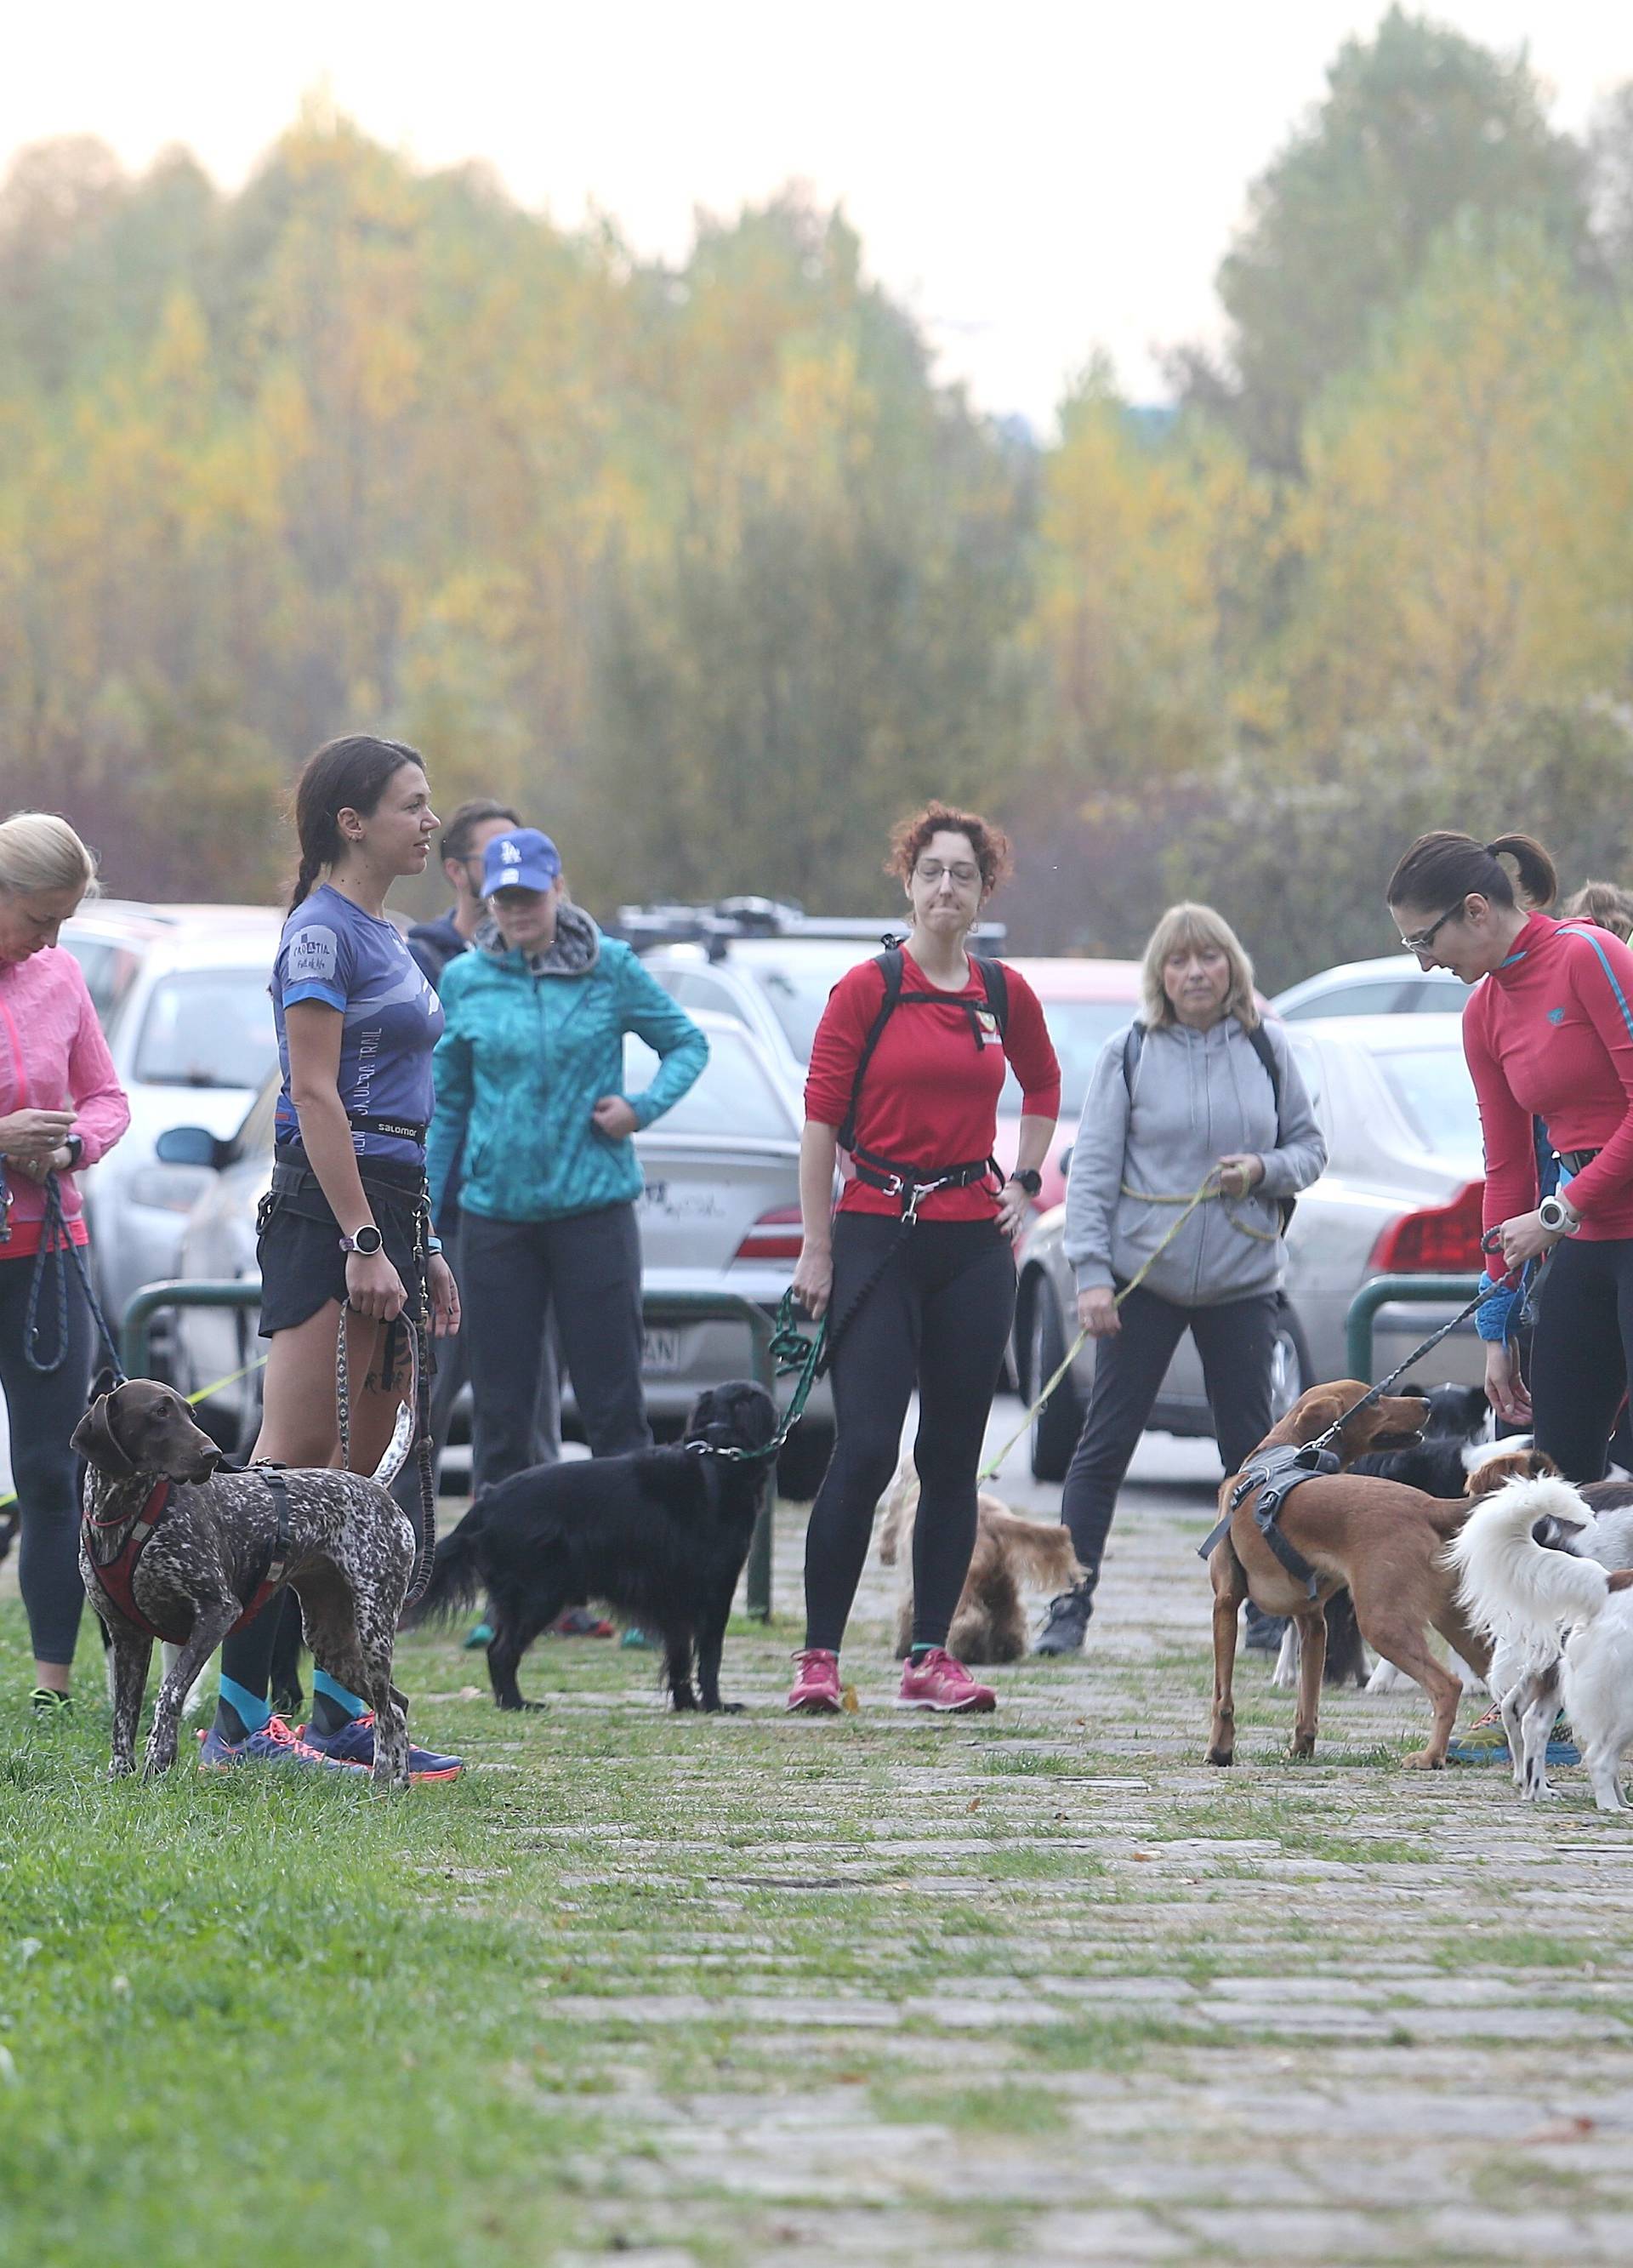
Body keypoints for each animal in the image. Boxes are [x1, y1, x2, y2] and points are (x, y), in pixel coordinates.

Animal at [417, 1378, 780, 1714]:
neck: (722, 1450)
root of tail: (486, 1502)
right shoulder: (717, 1590)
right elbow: (710, 1656)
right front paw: (717, 1705)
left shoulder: (676, 1600)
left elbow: (680, 1657)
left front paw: (687, 1704)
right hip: (539, 1596)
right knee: (501, 1651)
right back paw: (518, 1704)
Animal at [875, 1451, 1089, 1669]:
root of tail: (991, 1520)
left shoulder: (911, 1587)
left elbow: (906, 1615)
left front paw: (901, 1650)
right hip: (1005, 1586)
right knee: (1012, 1617)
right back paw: (1008, 1649)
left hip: (964, 1581)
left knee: (969, 1618)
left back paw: (966, 1649)